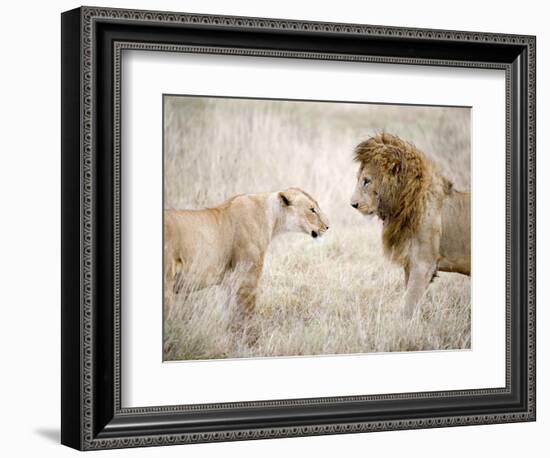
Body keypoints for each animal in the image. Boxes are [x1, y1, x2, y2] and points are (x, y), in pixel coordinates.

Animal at [163, 186, 328, 322]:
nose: (327, 227)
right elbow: (247, 316)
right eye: (312, 209)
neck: (272, 218)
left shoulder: (230, 282)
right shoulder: (247, 278)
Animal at [352, 133, 472, 318]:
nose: (353, 204)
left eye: (366, 181)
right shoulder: (410, 263)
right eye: (359, 180)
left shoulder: (423, 265)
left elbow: (408, 305)